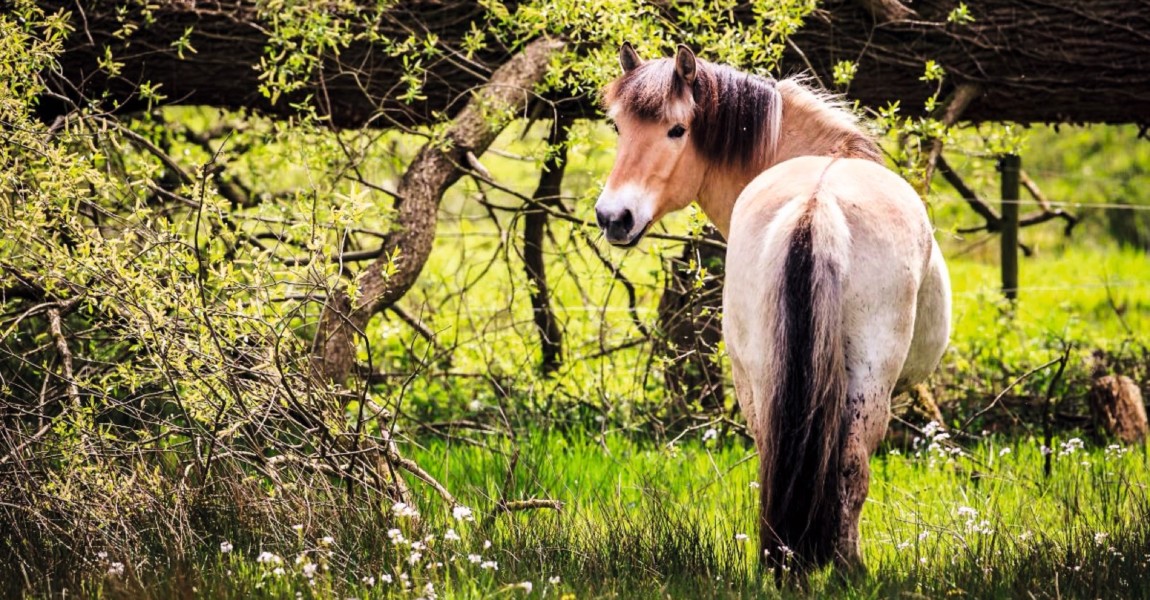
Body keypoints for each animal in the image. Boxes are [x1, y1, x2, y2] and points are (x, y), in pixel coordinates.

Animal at [593, 41, 952, 574]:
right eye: (619, 127)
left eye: (677, 130)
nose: (613, 217)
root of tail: (815, 205)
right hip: (865, 384)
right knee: (850, 467)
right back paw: (848, 568)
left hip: (764, 374)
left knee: (776, 455)